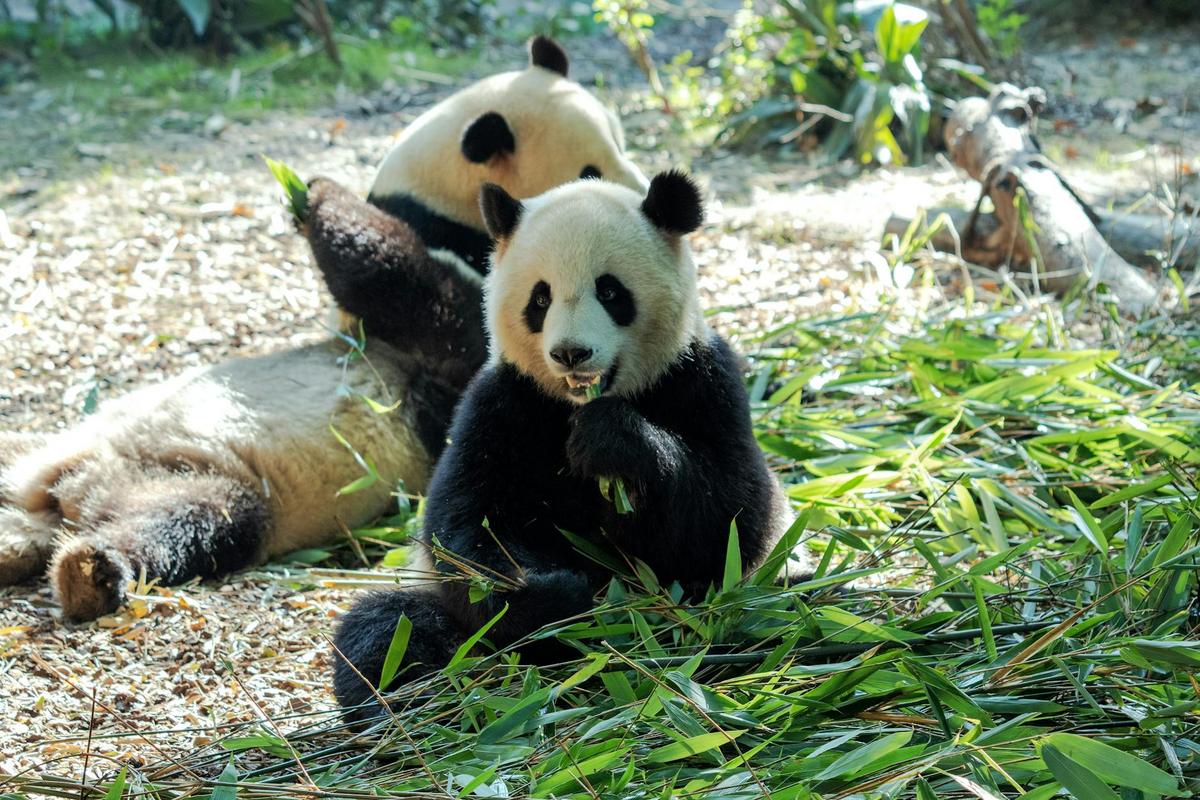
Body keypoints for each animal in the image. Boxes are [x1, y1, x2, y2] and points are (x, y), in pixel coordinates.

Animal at [0, 36, 648, 622]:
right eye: (593, 165)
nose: (643, 195)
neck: (443, 211)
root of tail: (63, 488)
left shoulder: (464, 327)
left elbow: (406, 288)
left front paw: (315, 194)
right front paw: (304, 188)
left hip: (207, 481)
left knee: (185, 519)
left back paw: (89, 570)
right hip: (66, 450)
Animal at [331, 171, 799, 716]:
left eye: (611, 291)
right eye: (540, 299)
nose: (571, 353)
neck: (575, 405)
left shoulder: (701, 379)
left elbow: (729, 519)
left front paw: (611, 441)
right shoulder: (505, 402)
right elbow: (467, 527)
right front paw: (555, 595)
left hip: (758, 595)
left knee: (769, 613)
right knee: (389, 630)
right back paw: (415, 691)